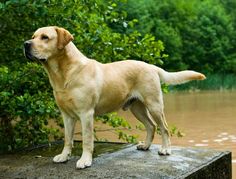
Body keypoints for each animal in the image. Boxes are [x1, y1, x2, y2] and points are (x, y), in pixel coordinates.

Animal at [23, 25, 206, 169]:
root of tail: (152, 66)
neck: (63, 74)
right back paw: (146, 146)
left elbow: (87, 140)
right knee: (151, 126)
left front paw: (85, 160)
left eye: (45, 37)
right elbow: (67, 138)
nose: (25, 44)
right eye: (33, 36)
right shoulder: (66, 115)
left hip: (154, 105)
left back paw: (166, 149)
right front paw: (63, 156)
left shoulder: (86, 113)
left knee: (164, 128)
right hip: (137, 108)